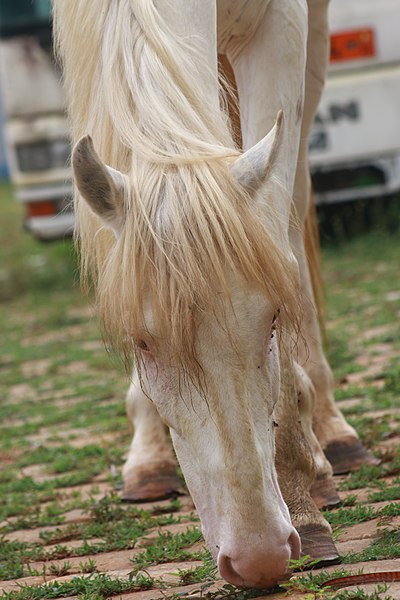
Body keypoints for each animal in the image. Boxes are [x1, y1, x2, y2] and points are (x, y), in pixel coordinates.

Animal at [54, 0, 378, 588]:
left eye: (272, 320)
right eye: (140, 343)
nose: (258, 558)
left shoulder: (282, 30)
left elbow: (276, 234)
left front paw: (303, 505)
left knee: (295, 203)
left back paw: (329, 438)